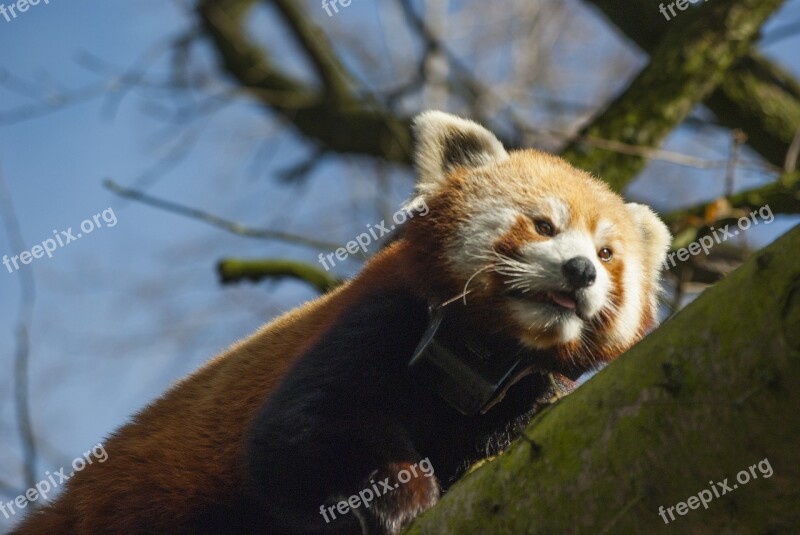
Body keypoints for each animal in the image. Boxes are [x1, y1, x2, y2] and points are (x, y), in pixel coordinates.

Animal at [12, 112, 672, 535]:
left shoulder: (517, 392)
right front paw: (394, 495)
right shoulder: (374, 322)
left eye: (608, 255)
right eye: (543, 225)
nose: (581, 271)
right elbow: (298, 431)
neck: (476, 357)